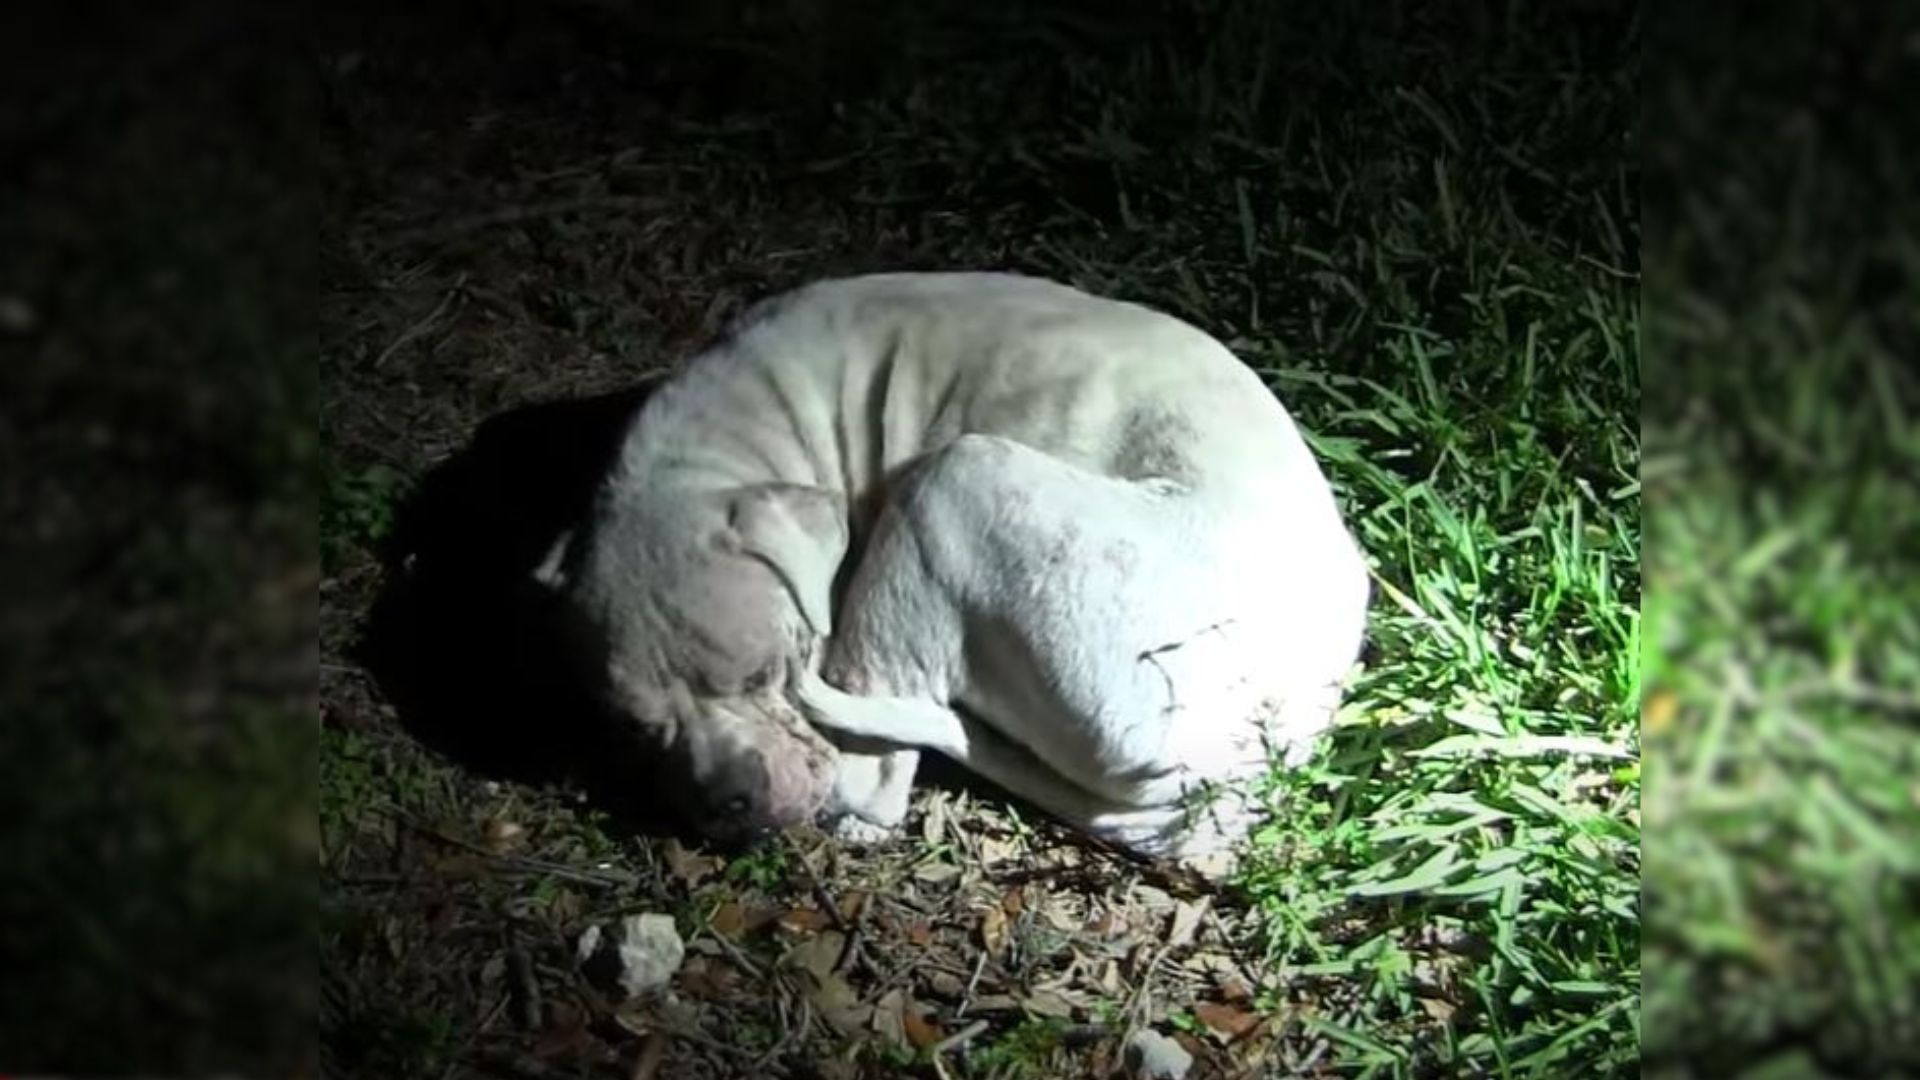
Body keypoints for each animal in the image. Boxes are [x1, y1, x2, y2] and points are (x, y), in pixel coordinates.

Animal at [537, 270, 1367, 864]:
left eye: (763, 672)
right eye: (638, 731)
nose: (731, 801)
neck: (726, 440)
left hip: (957, 481)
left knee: (872, 774)